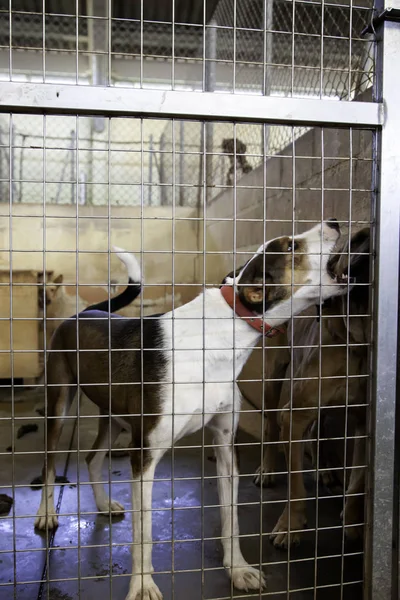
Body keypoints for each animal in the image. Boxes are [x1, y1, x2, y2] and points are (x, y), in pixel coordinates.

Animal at [36, 220, 346, 600]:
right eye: (290, 246)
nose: (334, 222)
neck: (224, 329)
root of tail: (84, 312)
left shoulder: (226, 448)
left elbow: (231, 520)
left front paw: (237, 569)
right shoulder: (145, 456)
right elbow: (143, 534)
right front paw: (142, 585)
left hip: (115, 417)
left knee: (92, 458)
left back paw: (104, 503)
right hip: (59, 407)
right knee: (50, 463)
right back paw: (46, 514)